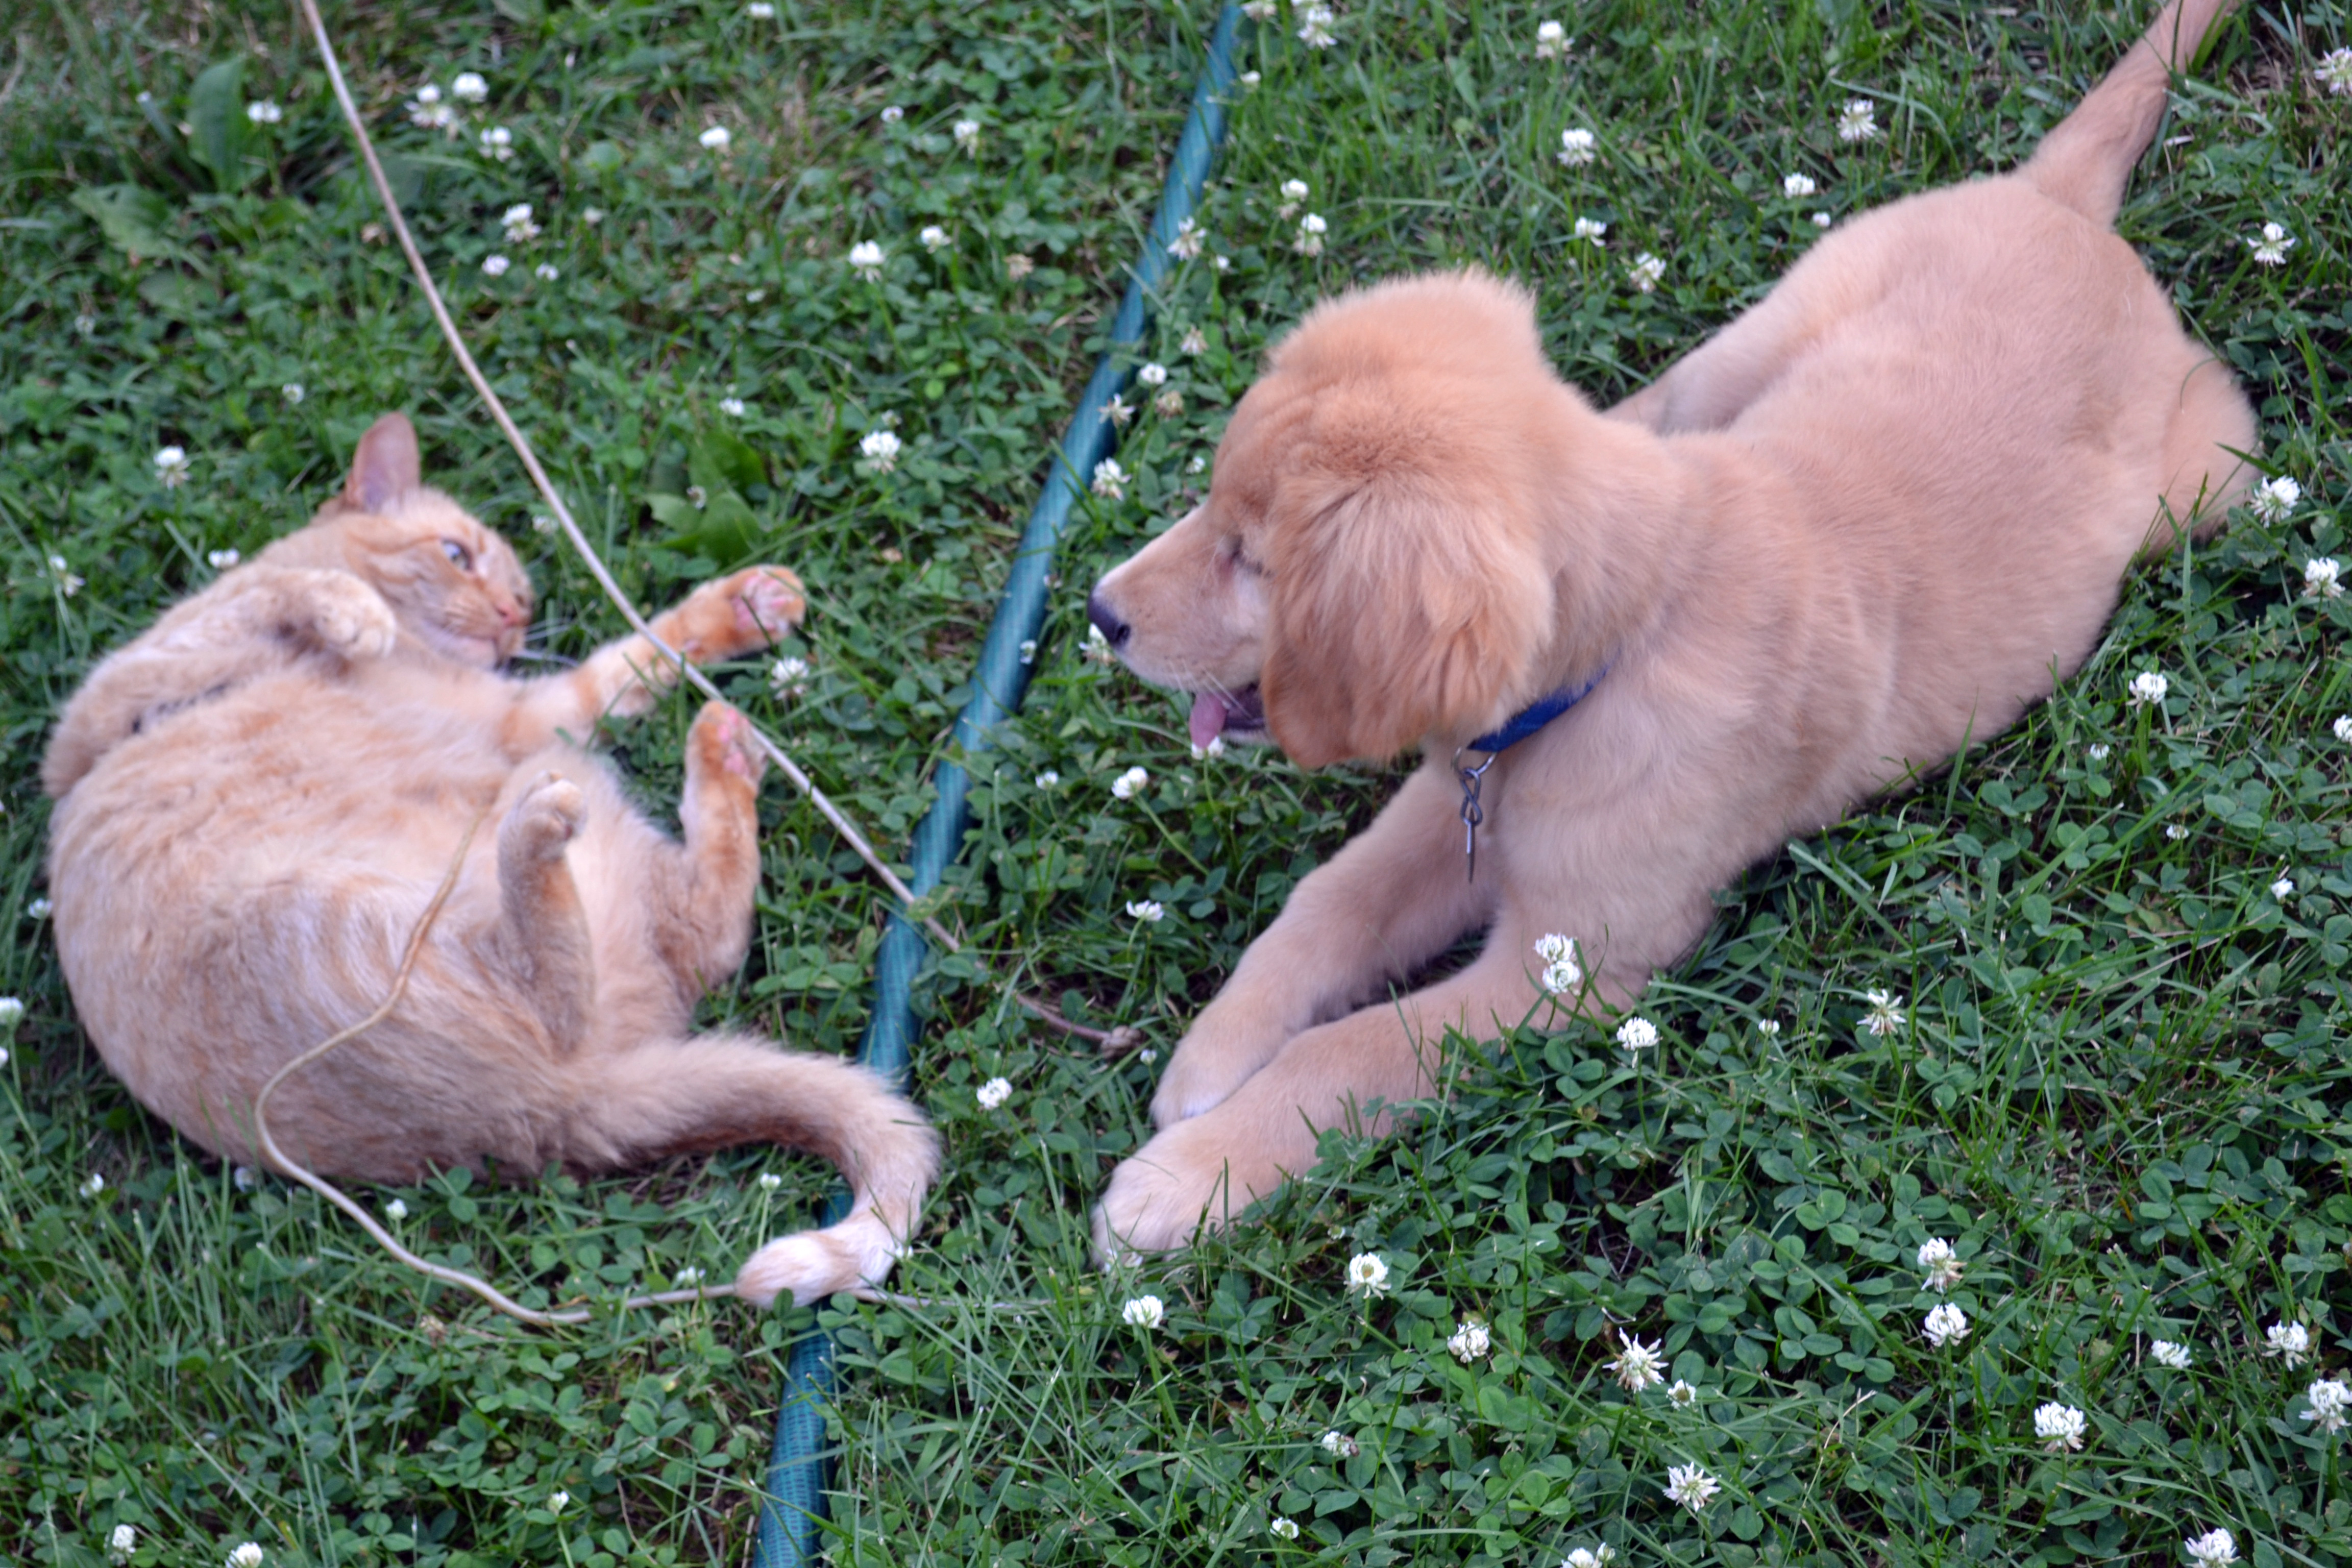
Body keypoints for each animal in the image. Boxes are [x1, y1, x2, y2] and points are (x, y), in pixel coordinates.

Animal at [41, 411, 931, 1307]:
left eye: (523, 601)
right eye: (456, 555)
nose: (509, 614)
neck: (407, 661)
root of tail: (567, 1108)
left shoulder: (528, 710)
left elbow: (638, 654)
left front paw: (745, 609)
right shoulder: (105, 710)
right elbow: (272, 595)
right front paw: (348, 608)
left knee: (673, 947)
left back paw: (700, 757)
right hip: (362, 898)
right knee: (627, 963)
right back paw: (635, 787)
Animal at [1086, 0, 2258, 1260]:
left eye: (1252, 559)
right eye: (1213, 506)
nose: (1099, 613)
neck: (1625, 641)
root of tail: (2060, 205)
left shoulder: (1566, 966)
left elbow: (1352, 1051)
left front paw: (1182, 1180)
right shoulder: (1454, 801)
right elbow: (1329, 899)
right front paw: (1215, 1051)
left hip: (2208, 484)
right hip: (1756, 335)